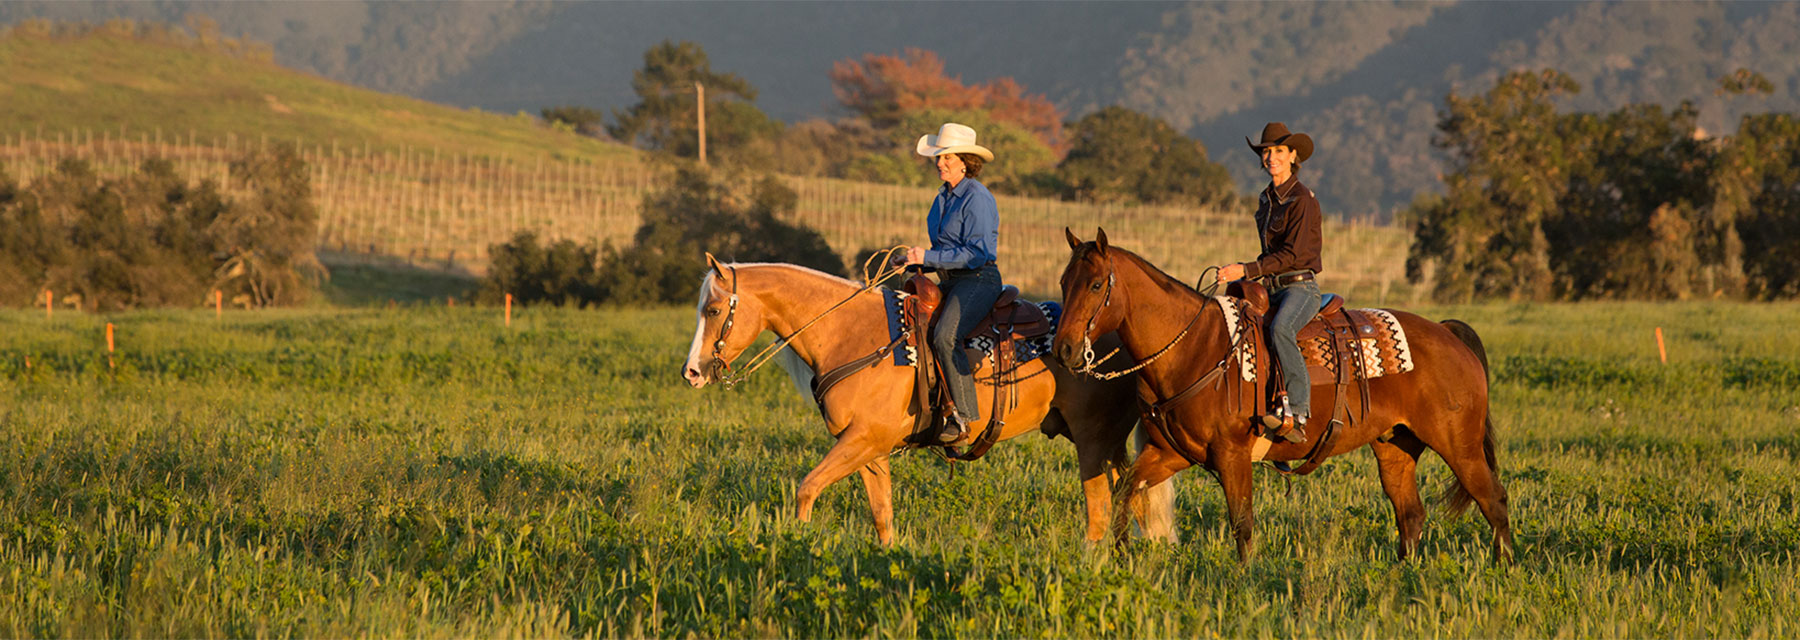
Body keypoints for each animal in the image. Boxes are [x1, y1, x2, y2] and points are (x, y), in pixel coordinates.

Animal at [680, 255, 1173, 546]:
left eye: (713, 309)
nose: (693, 372)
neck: (851, 334)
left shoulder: (862, 440)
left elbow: (807, 488)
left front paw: (795, 546)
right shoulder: (870, 449)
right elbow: (882, 515)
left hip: (1092, 441)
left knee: (1100, 509)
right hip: (1107, 443)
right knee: (1132, 496)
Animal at [1051, 230, 1512, 560]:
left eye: (1096, 285)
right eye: (1063, 282)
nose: (1065, 350)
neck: (1196, 348)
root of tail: (1448, 333)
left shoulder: (1233, 455)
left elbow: (1241, 521)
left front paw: (1244, 577)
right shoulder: (1171, 452)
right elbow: (1125, 492)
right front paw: (1119, 556)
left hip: (1459, 445)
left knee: (1492, 499)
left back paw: (1503, 568)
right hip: (1395, 445)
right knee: (1411, 514)